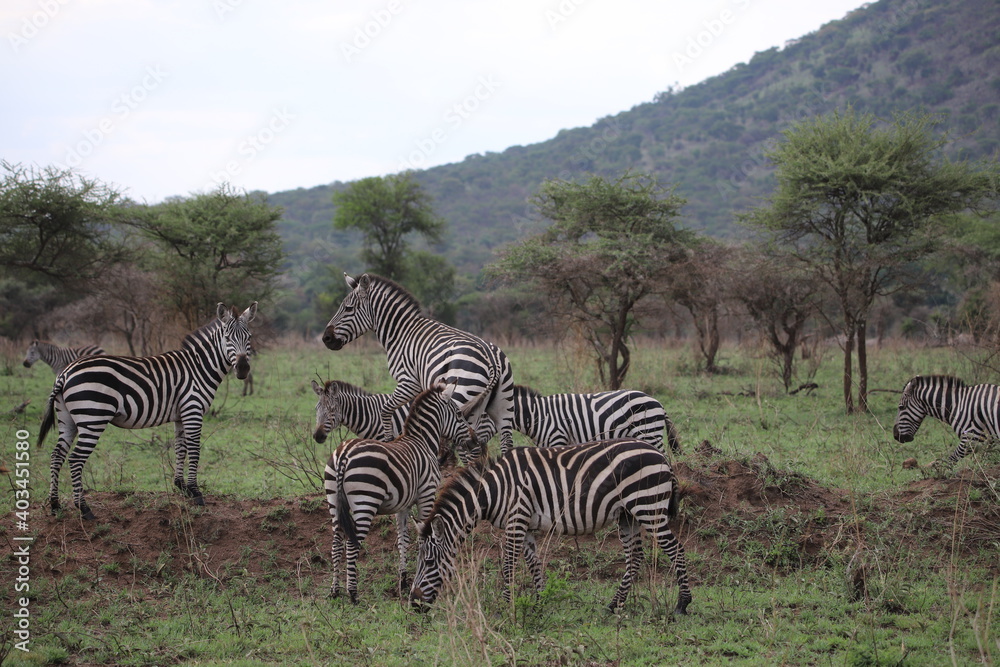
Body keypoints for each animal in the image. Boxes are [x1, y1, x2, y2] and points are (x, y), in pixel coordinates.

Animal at [37, 302, 257, 520]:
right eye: (227, 338)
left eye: (249, 337)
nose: (243, 369)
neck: (199, 368)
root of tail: (65, 373)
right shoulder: (192, 410)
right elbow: (194, 450)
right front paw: (195, 492)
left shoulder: (181, 415)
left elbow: (180, 448)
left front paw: (181, 486)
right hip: (93, 418)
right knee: (75, 459)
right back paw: (84, 509)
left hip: (67, 419)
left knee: (56, 456)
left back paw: (55, 505)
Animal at [322, 273, 515, 457]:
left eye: (348, 308)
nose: (326, 338)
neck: (400, 332)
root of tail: (493, 360)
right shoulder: (422, 386)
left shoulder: (408, 381)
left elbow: (386, 410)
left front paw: (389, 441)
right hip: (504, 407)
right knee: (505, 443)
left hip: (462, 397)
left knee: (468, 446)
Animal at [325, 381, 477, 603]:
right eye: (458, 414)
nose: (475, 439)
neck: (423, 440)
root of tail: (344, 454)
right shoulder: (426, 495)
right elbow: (422, 536)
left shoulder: (402, 506)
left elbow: (402, 540)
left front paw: (403, 582)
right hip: (365, 502)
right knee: (351, 545)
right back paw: (353, 594)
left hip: (333, 501)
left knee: (336, 543)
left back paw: (334, 591)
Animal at [409, 438, 693, 615]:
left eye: (429, 562)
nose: (413, 603)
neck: (494, 491)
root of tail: (661, 455)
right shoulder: (525, 525)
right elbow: (533, 564)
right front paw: (539, 602)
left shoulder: (516, 518)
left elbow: (508, 565)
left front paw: (507, 606)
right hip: (628, 516)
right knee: (635, 559)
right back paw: (614, 606)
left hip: (648, 507)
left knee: (676, 550)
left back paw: (682, 604)